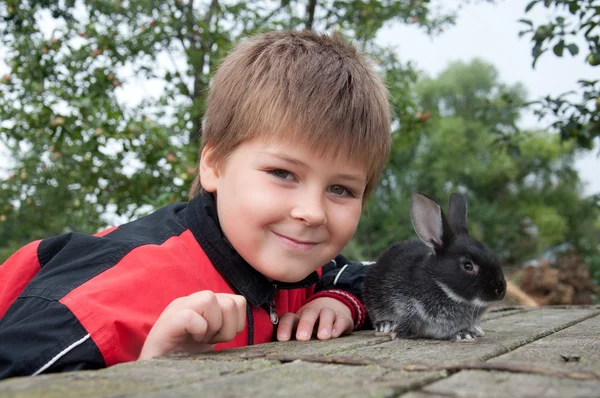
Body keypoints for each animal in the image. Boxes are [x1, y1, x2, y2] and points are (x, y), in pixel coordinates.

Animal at [360, 191, 506, 340]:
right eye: (468, 266)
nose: (500, 290)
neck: (441, 286)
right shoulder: (407, 306)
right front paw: (397, 332)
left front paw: (466, 332)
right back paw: (385, 325)